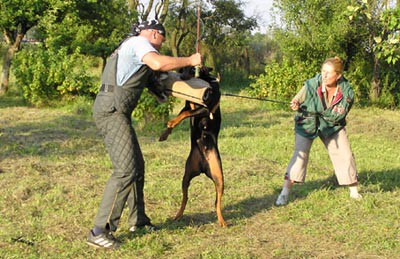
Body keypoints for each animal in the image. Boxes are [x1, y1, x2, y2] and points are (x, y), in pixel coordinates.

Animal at [160, 66, 228, 228]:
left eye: (191, 69)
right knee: (185, 198)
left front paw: (171, 123)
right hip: (186, 176)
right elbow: (184, 112)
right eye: (182, 69)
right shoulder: (189, 104)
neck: (207, 80)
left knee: (217, 202)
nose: (181, 75)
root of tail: (203, 166)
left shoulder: (205, 109)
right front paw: (165, 133)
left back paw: (222, 220)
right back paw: (177, 215)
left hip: (219, 177)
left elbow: (186, 113)